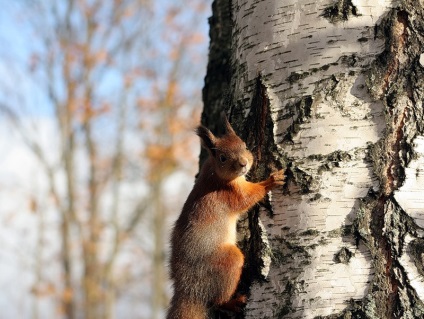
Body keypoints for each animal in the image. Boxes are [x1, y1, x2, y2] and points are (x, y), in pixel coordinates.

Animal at [166, 115, 284, 319]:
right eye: (222, 158)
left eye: (245, 145)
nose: (244, 163)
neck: (215, 174)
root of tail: (189, 289)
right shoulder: (229, 194)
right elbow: (248, 198)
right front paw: (271, 181)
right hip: (227, 261)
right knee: (218, 300)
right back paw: (234, 302)